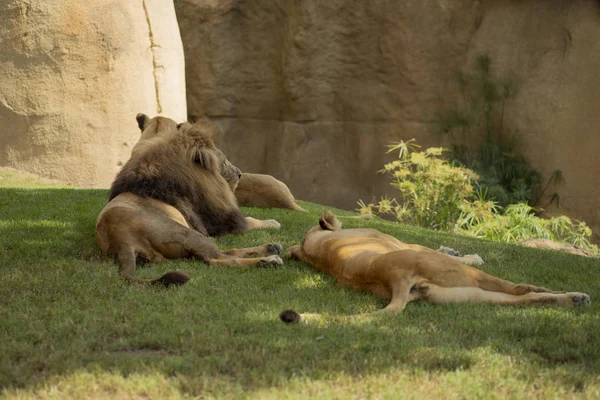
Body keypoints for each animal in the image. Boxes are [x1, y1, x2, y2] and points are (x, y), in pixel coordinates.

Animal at [97, 114, 284, 286]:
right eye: (223, 161)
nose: (239, 174)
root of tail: (121, 239)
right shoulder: (220, 222)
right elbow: (252, 221)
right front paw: (273, 222)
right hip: (186, 233)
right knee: (218, 259)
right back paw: (269, 260)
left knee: (227, 252)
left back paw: (271, 248)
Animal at [282, 211, 592, 324]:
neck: (313, 245)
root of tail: (392, 279)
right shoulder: (404, 241)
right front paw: (469, 254)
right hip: (464, 277)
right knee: (519, 288)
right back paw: (571, 294)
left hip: (467, 295)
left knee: (524, 298)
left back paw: (576, 299)